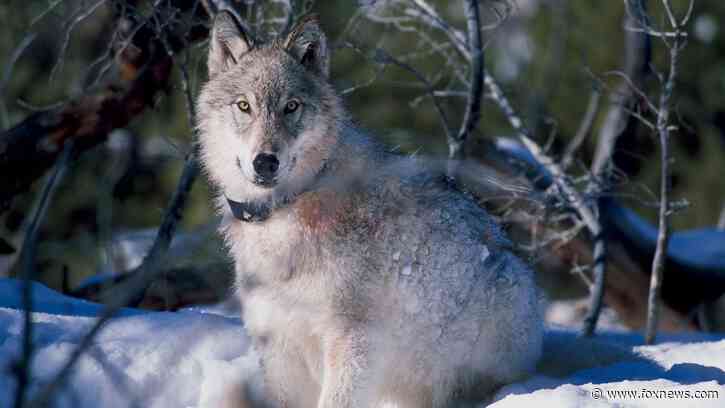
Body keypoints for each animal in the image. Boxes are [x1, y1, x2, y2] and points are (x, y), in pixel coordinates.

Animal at [197, 11, 543, 408]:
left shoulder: (353, 339)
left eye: (291, 106)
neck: (288, 209)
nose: (265, 162)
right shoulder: (278, 343)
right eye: (244, 106)